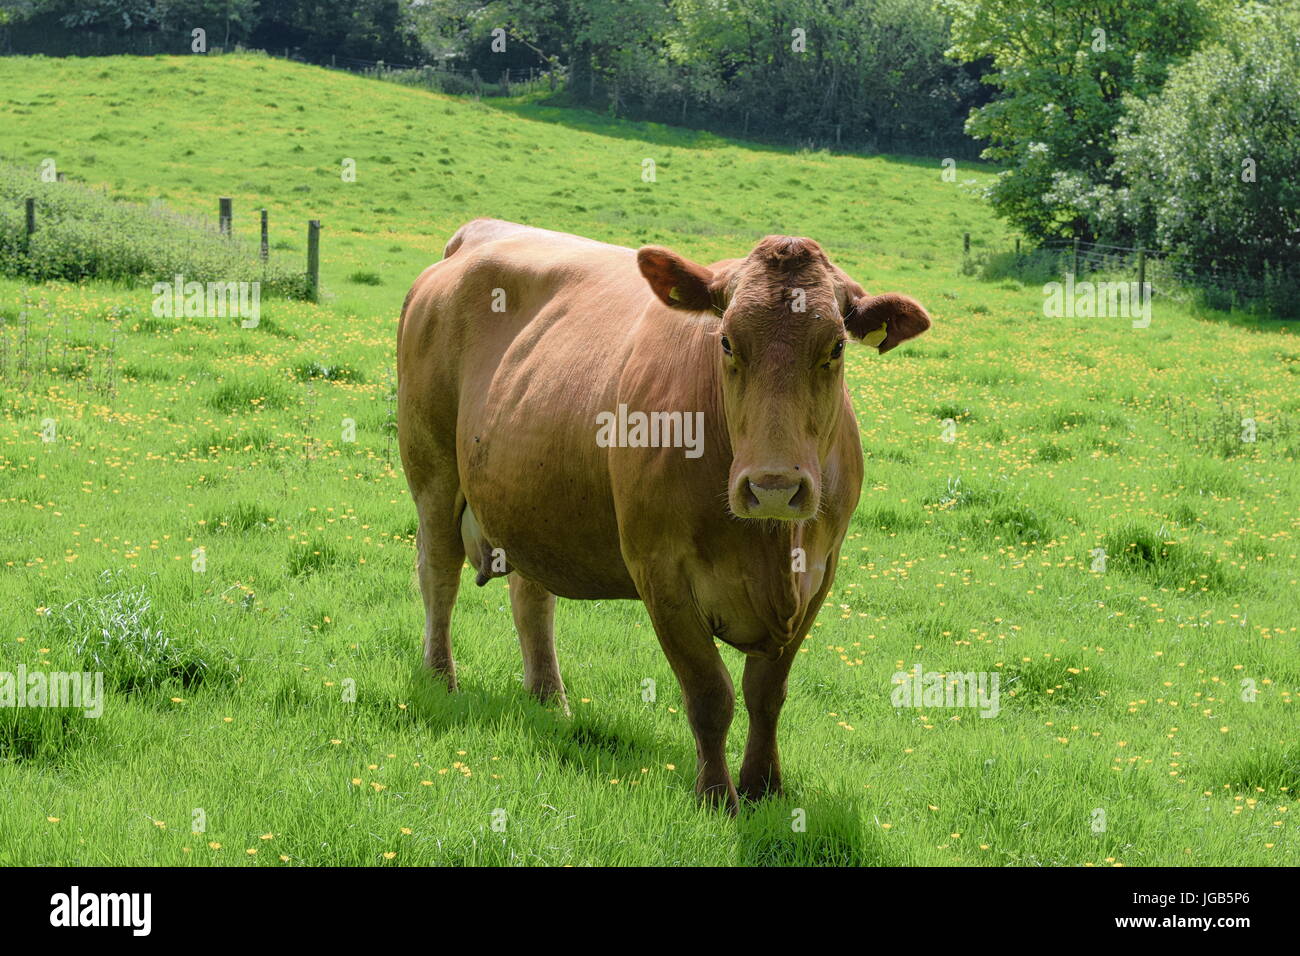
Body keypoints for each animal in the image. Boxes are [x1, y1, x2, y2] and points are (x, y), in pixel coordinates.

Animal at [397, 221, 935, 811]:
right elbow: (710, 694)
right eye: (726, 341)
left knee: (532, 599)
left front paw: (765, 787)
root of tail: (478, 233)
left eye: (835, 347)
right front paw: (717, 797)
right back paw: (441, 679)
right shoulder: (662, 572)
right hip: (432, 471)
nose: (773, 486)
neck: (770, 548)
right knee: (439, 576)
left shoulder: (819, 573)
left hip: (528, 499)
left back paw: (548, 700)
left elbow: (767, 694)